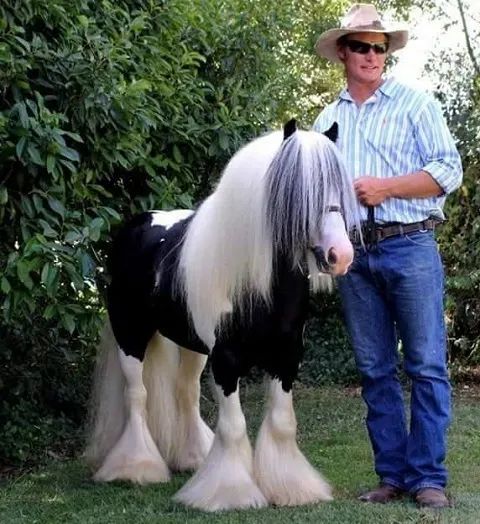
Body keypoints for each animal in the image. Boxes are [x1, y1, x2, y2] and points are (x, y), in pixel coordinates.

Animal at [84, 119, 358, 512]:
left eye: (339, 185)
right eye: (296, 191)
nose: (340, 254)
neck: (258, 286)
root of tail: (135, 226)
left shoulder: (286, 356)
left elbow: (281, 422)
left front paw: (292, 489)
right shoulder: (227, 360)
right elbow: (233, 426)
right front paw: (230, 494)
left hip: (192, 347)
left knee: (186, 393)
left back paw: (192, 458)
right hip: (130, 334)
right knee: (136, 395)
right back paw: (135, 468)